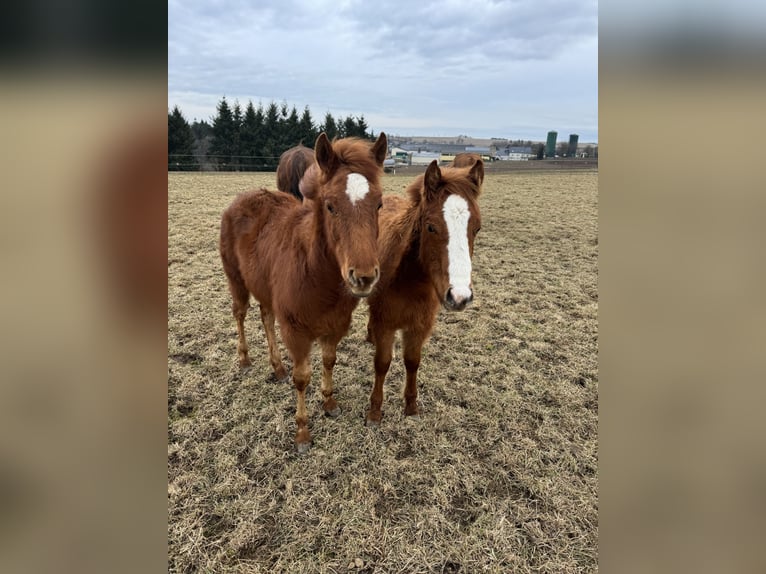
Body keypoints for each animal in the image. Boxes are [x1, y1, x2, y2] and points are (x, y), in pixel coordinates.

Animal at [222, 133, 390, 452]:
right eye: (330, 206)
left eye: (379, 204)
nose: (364, 277)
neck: (315, 275)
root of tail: (241, 199)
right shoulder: (296, 331)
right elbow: (301, 377)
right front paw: (302, 433)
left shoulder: (335, 326)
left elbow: (328, 361)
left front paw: (330, 403)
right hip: (236, 280)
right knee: (240, 313)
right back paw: (245, 359)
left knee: (265, 316)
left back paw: (277, 367)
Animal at [364, 158, 484, 428]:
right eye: (431, 227)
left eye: (477, 228)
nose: (460, 297)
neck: (407, 281)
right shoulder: (385, 323)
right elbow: (382, 364)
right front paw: (375, 412)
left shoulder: (419, 326)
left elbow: (412, 362)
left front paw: (411, 407)